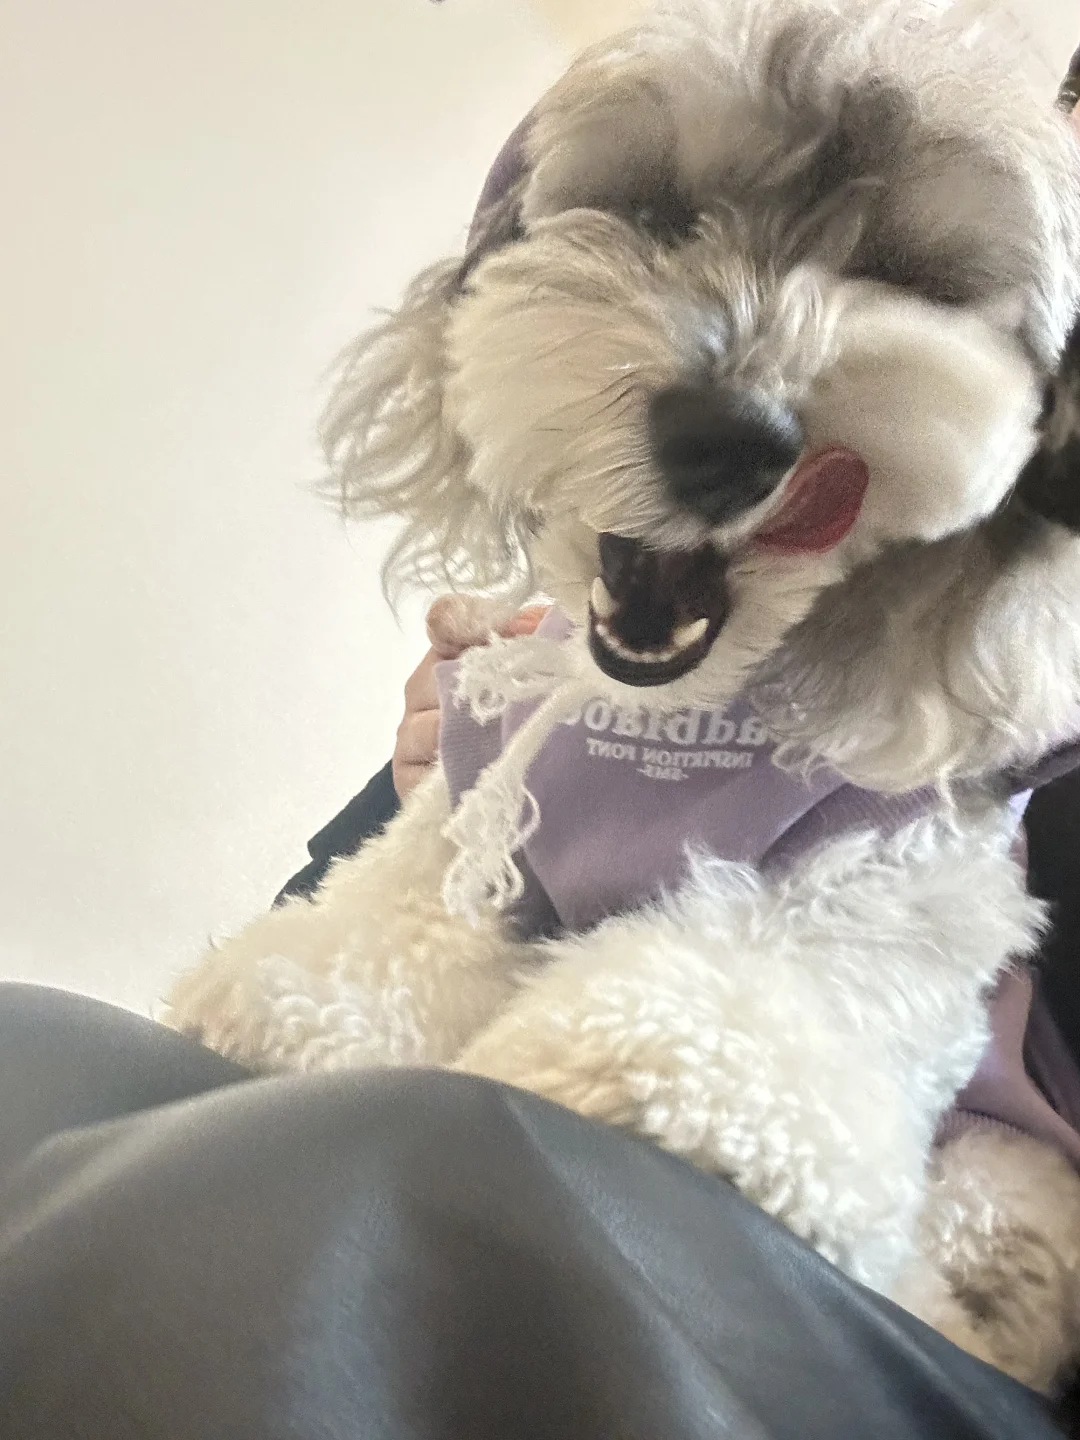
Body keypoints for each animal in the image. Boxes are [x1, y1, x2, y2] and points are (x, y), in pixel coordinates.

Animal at [166, 0, 1080, 1392]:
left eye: (913, 276)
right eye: (656, 208)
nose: (732, 436)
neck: (668, 718)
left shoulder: (885, 903)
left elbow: (716, 1029)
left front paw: (600, 1075)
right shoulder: (464, 832)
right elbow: (355, 965)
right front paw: (302, 1016)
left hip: (1009, 1175)